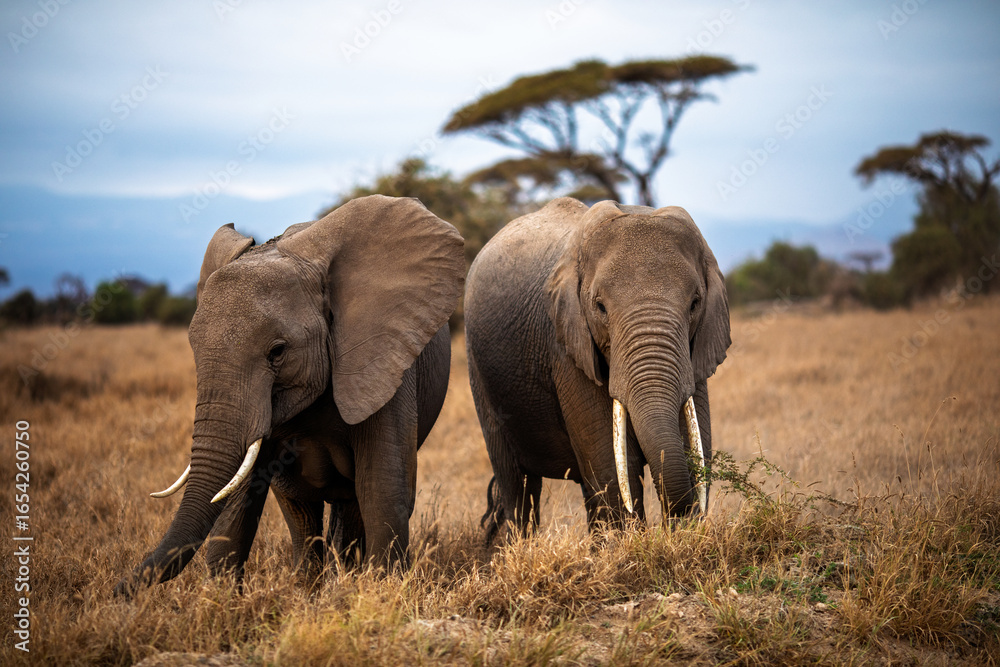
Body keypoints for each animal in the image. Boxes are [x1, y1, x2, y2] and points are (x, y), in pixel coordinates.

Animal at [115, 195, 465, 597]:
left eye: (278, 351)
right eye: (194, 349)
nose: (113, 590)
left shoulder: (384, 361)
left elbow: (382, 490)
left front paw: (382, 594)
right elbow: (240, 492)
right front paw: (220, 601)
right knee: (302, 508)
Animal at [464, 198, 730, 541]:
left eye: (695, 303)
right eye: (600, 307)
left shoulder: (694, 354)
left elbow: (696, 443)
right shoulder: (565, 346)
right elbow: (609, 464)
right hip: (478, 370)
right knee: (517, 485)